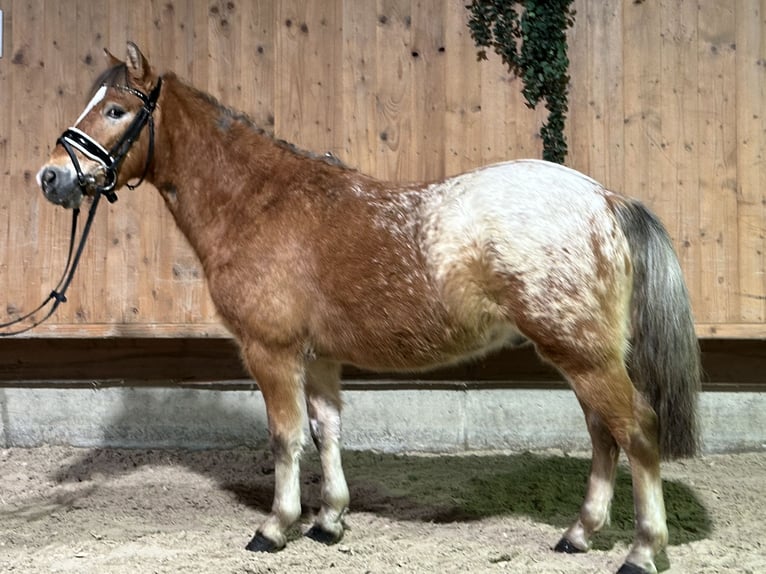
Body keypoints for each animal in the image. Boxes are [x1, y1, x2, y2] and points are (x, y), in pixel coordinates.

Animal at [40, 41, 704, 574]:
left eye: (116, 110)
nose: (51, 177)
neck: (259, 203)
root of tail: (604, 198)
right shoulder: (319, 357)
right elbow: (326, 430)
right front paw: (328, 521)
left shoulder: (271, 352)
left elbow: (285, 437)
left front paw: (275, 527)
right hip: (581, 355)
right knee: (603, 435)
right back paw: (578, 534)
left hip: (584, 354)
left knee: (635, 432)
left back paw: (642, 550)